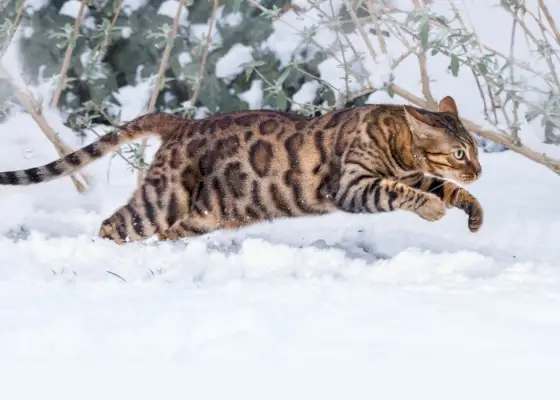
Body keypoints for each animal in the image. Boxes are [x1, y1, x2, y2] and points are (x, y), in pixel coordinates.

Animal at [0, 95, 482, 244]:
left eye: (475, 151)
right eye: (460, 153)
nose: (478, 170)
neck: (398, 146)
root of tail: (182, 122)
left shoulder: (412, 174)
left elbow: (444, 189)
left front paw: (473, 212)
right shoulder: (352, 185)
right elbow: (402, 192)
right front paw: (432, 210)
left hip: (203, 214)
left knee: (167, 235)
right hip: (161, 200)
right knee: (112, 226)